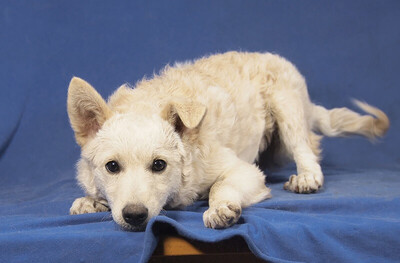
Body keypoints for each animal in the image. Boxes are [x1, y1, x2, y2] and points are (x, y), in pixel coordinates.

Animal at [67, 52, 390, 231]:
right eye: (112, 167)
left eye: (159, 165)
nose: (134, 216)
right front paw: (91, 201)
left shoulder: (243, 171)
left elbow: (220, 186)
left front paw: (219, 208)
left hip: (286, 106)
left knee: (305, 147)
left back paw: (307, 176)